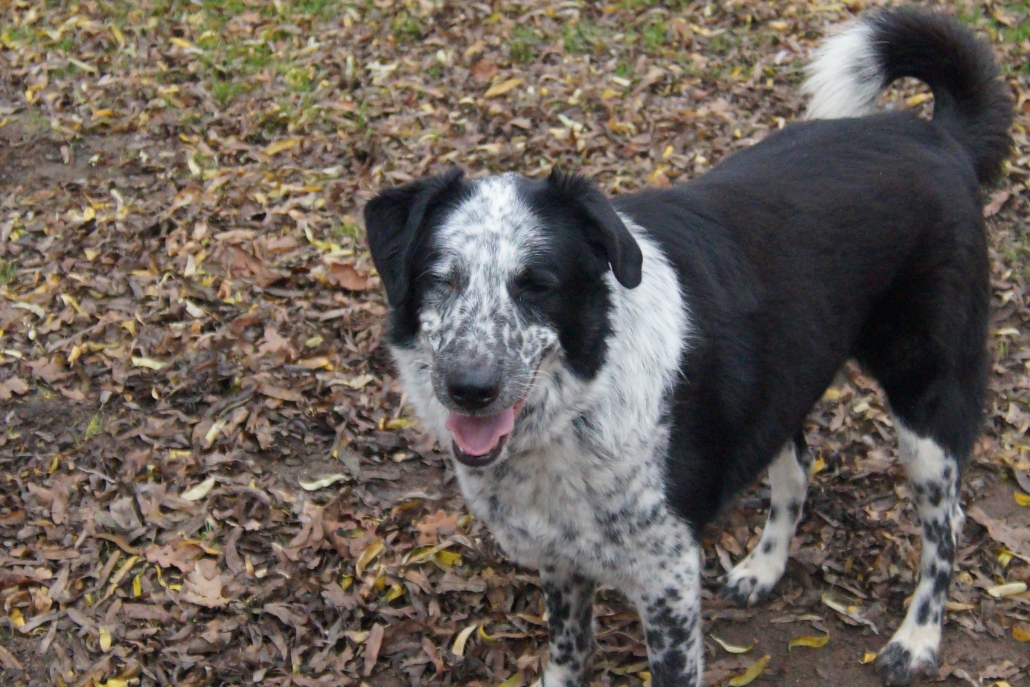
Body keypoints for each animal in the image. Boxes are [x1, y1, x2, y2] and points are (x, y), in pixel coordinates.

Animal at [363, 8, 1012, 686]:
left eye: (537, 285)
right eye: (441, 279)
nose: (469, 389)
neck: (583, 402)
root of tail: (937, 138)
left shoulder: (667, 576)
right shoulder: (561, 560)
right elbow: (569, 651)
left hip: (928, 400)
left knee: (945, 528)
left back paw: (918, 637)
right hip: (784, 371)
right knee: (800, 465)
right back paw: (764, 567)